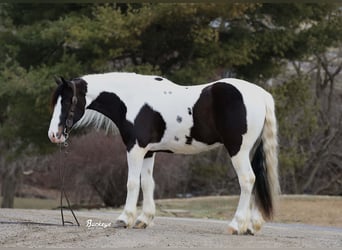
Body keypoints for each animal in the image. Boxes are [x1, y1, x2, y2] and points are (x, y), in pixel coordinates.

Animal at [48, 72, 280, 234]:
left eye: (68, 101)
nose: (54, 135)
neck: (132, 99)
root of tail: (260, 94)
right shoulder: (148, 152)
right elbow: (147, 183)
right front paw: (143, 220)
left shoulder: (135, 148)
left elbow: (132, 183)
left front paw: (124, 219)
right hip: (247, 151)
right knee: (255, 180)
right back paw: (250, 227)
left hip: (237, 149)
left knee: (247, 180)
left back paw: (236, 225)